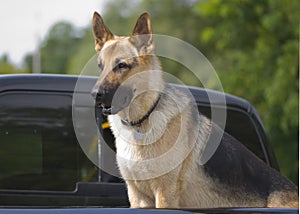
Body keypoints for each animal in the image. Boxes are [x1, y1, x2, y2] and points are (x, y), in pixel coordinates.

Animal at [91, 11, 298, 207]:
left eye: (121, 66)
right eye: (100, 67)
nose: (95, 94)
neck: (141, 121)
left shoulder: (164, 195)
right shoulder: (138, 197)